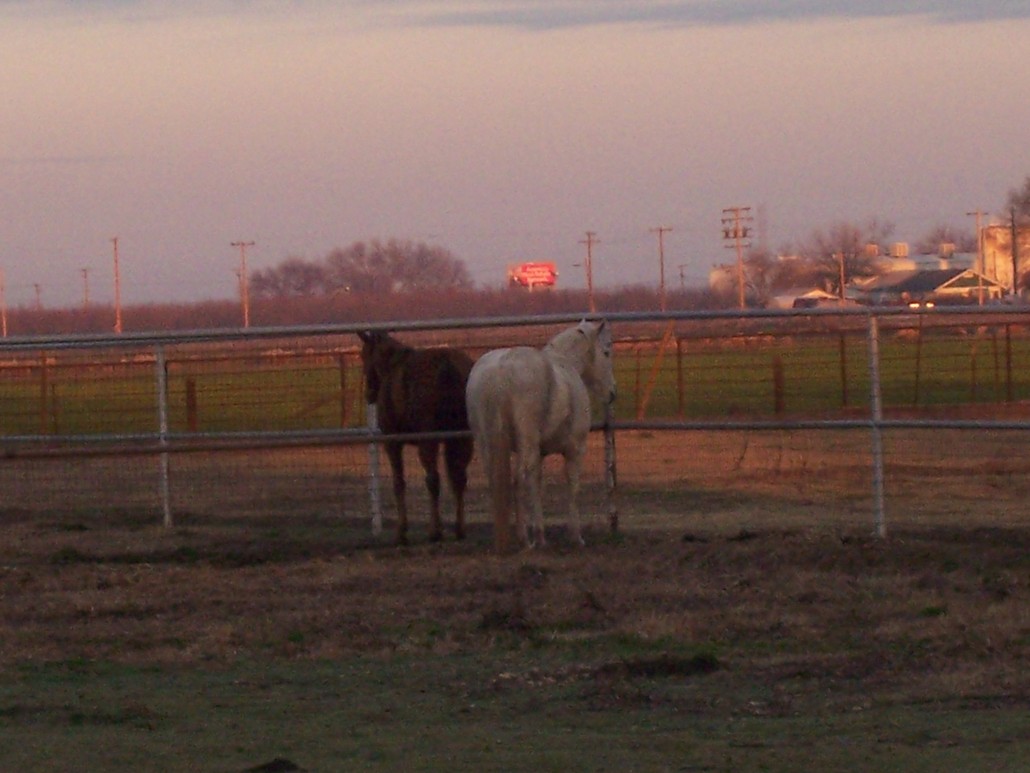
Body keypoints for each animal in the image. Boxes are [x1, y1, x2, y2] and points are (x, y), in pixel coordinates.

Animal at [358, 331, 473, 544]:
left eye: (363, 355)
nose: (369, 394)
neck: (391, 367)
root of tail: (448, 366)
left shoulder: (392, 442)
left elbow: (399, 483)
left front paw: (401, 531)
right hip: (463, 438)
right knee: (460, 479)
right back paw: (459, 529)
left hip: (429, 442)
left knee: (433, 479)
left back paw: (434, 531)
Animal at [469, 319, 618, 552]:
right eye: (606, 352)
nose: (612, 392)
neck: (566, 366)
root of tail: (500, 370)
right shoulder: (575, 450)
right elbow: (572, 487)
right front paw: (576, 536)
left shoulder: (539, 454)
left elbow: (536, 487)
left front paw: (540, 536)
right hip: (526, 444)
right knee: (518, 481)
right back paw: (523, 539)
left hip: (486, 445)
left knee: (497, 483)